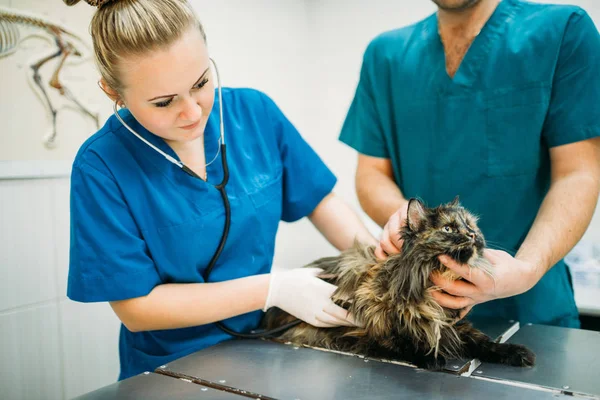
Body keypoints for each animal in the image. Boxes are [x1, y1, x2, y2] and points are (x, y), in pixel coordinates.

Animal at [262, 197, 536, 368]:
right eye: (448, 229)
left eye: (470, 225)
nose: (472, 235)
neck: (428, 283)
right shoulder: (372, 324)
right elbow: (400, 339)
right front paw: (430, 357)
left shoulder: (453, 323)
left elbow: (484, 342)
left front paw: (516, 352)